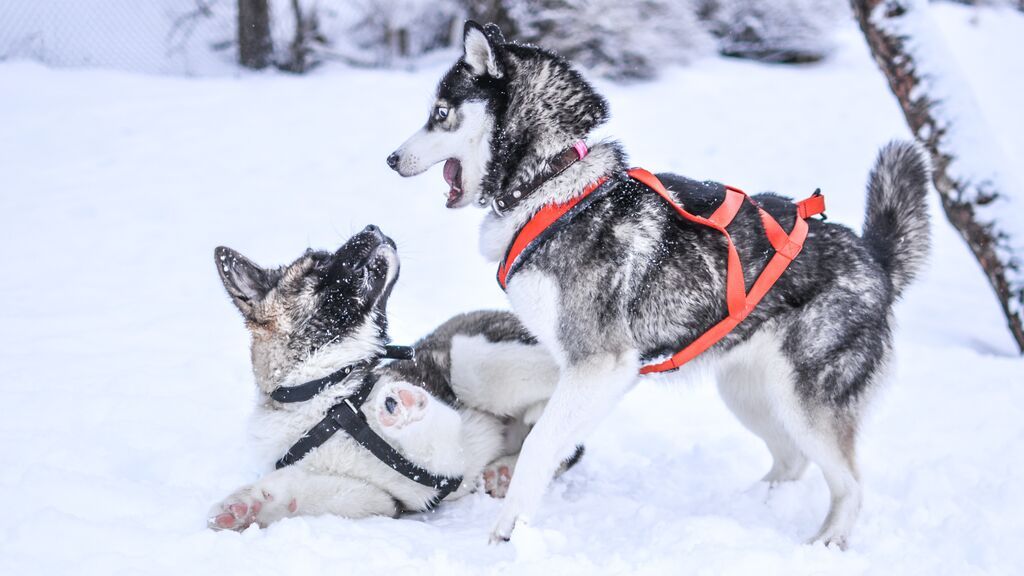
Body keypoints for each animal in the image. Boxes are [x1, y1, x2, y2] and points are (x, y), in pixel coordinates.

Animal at [387, 20, 933, 545]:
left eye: (440, 113)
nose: (391, 159)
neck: (552, 184)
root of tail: (874, 258)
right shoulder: (589, 373)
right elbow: (550, 438)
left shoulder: (598, 364)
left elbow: (539, 443)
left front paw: (507, 531)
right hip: (747, 392)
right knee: (792, 461)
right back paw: (747, 506)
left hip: (807, 402)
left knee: (851, 485)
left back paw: (826, 542)